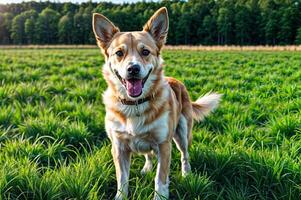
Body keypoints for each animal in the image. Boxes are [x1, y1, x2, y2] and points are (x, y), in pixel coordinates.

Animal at [91, 6, 220, 200]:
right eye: (119, 53)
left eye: (145, 52)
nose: (133, 69)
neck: (135, 104)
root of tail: (175, 80)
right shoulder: (118, 146)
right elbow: (122, 180)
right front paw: (122, 194)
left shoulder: (164, 144)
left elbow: (160, 179)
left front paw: (161, 194)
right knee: (148, 154)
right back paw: (147, 167)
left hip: (183, 132)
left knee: (185, 155)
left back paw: (187, 174)